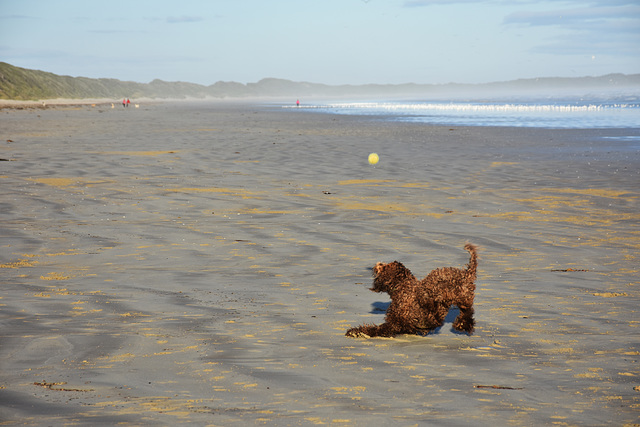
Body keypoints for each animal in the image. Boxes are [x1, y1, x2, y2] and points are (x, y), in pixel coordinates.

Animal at [348, 244, 478, 338]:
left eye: (383, 266)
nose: (376, 264)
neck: (403, 288)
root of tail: (466, 273)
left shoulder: (396, 322)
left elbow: (378, 329)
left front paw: (358, 331)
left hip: (457, 294)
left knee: (466, 311)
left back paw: (461, 324)